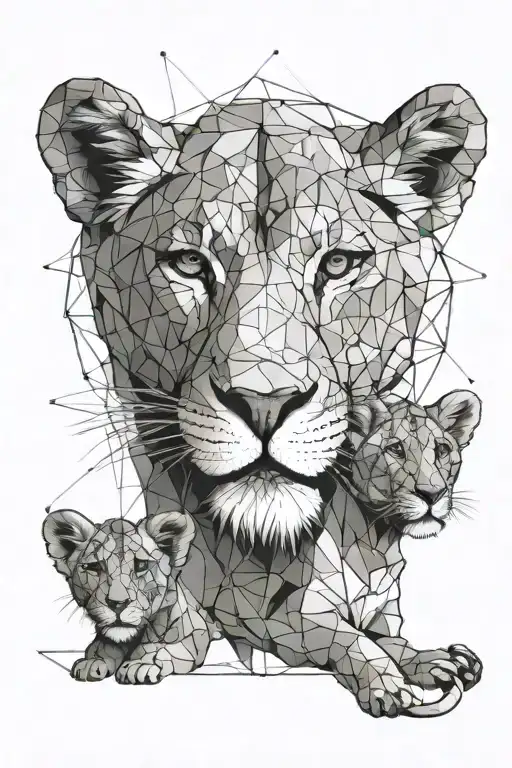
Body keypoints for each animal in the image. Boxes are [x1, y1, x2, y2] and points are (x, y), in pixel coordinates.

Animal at [43, 509, 221, 684]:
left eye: (141, 565)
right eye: (94, 566)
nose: (118, 603)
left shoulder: (196, 634)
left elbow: (161, 647)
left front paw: (141, 663)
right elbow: (101, 646)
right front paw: (92, 661)